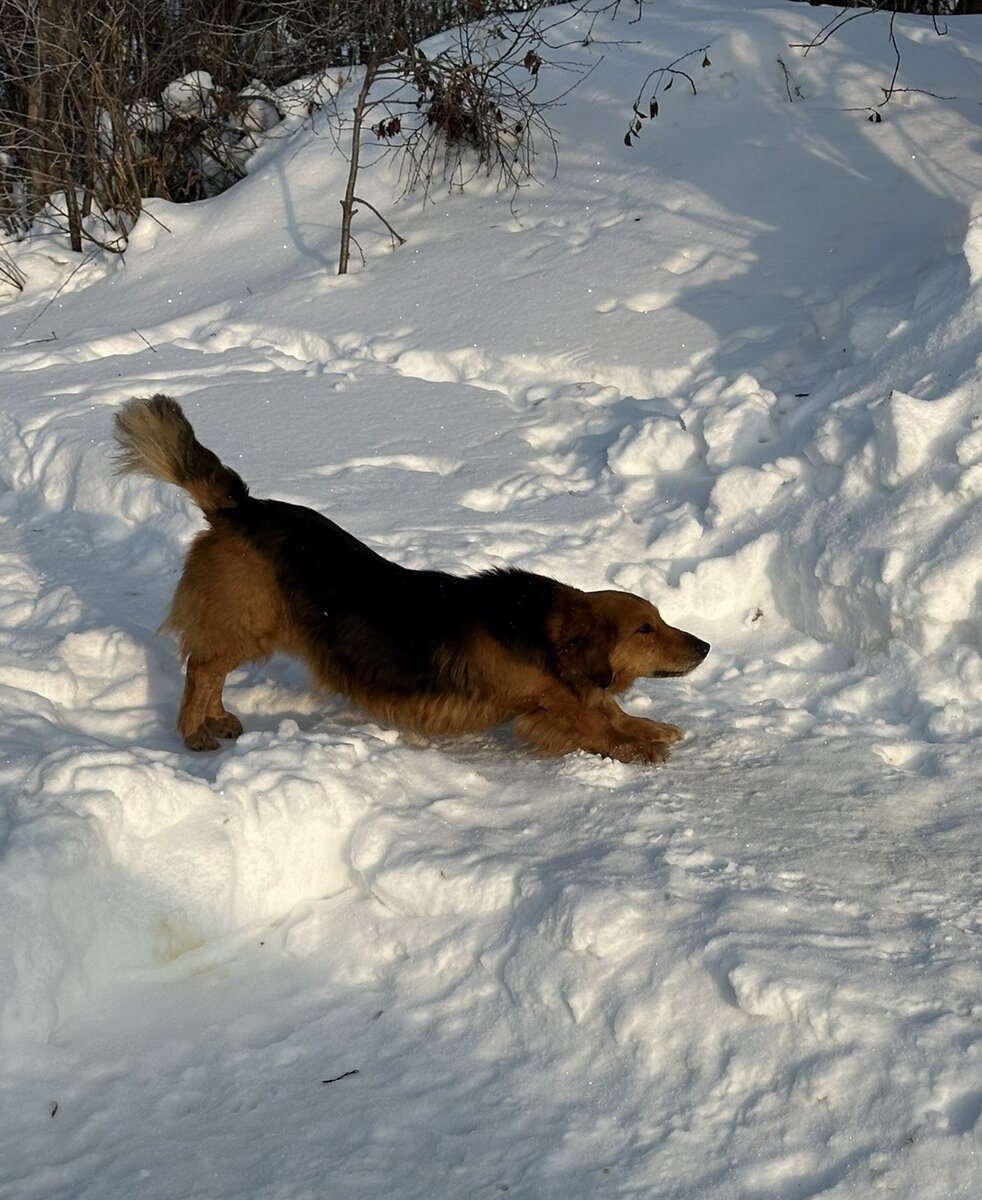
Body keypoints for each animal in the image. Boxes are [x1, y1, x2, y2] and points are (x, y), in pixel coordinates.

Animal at [114, 398, 705, 763]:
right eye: (645, 629)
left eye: (660, 620)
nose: (704, 647)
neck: (541, 631)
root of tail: (241, 507)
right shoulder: (543, 704)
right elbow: (595, 723)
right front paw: (640, 748)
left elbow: (613, 709)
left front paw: (651, 728)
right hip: (248, 623)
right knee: (202, 668)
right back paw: (195, 730)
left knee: (210, 670)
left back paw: (218, 720)